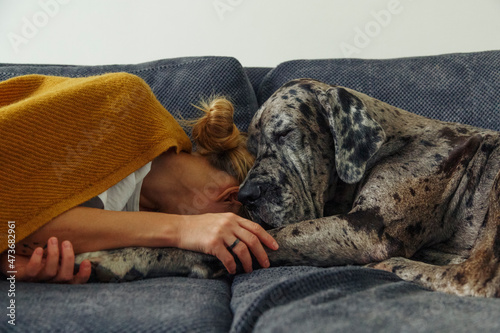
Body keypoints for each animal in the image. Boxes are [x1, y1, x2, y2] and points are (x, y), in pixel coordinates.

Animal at [76, 79, 498, 296]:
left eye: (285, 133)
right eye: (252, 147)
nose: (247, 196)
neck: (390, 144)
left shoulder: (366, 229)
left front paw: (117, 257)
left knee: (473, 279)